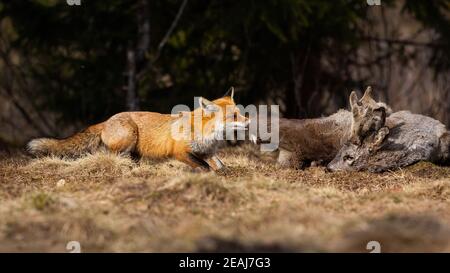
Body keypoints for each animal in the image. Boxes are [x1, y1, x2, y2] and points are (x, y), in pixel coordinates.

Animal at [27, 87, 250, 170]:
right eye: (233, 116)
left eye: (240, 112)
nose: (248, 122)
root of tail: (106, 120)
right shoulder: (180, 151)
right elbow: (204, 167)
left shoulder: (207, 152)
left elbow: (221, 165)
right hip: (129, 135)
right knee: (109, 155)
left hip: (134, 149)